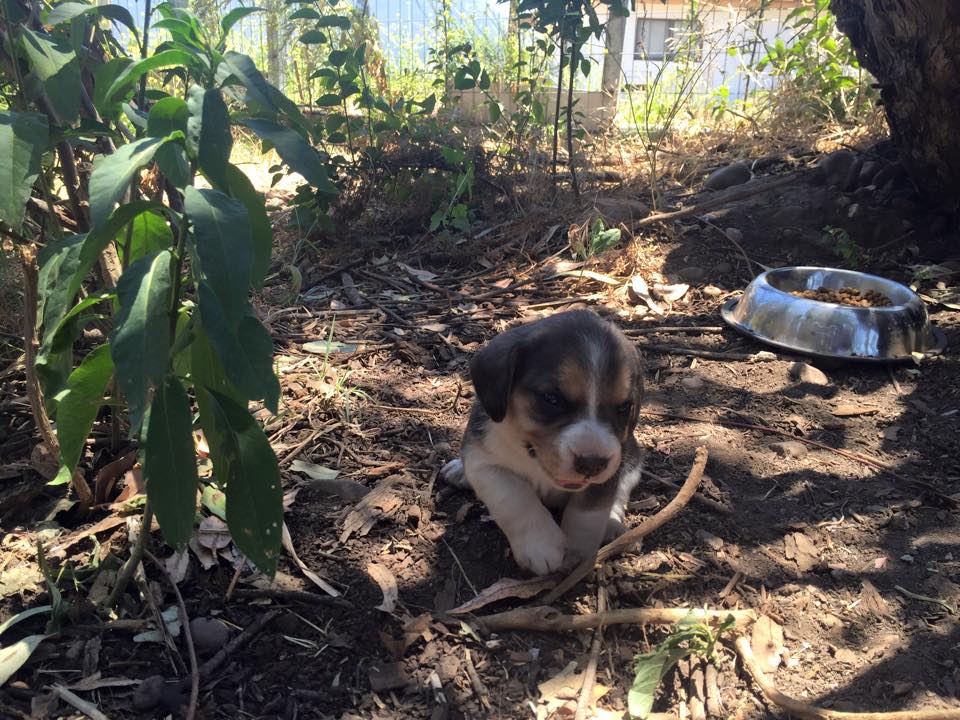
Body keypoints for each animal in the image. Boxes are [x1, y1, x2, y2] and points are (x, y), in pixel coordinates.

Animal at [442, 308, 644, 572]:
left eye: (623, 407)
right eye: (551, 398)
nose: (592, 464)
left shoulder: (613, 466)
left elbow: (588, 512)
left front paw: (577, 551)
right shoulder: (483, 462)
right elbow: (515, 498)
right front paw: (540, 547)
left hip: (632, 458)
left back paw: (613, 525)